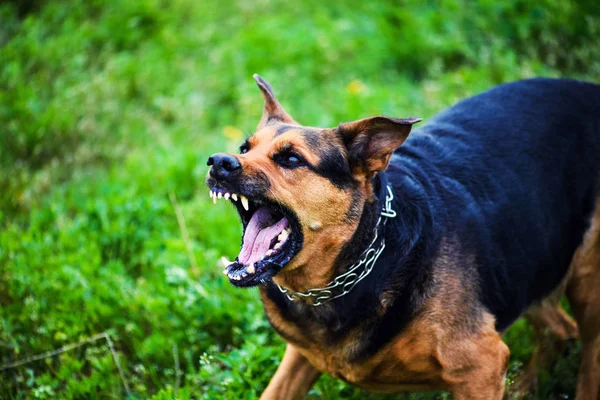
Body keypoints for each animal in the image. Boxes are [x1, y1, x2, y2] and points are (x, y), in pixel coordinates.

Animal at [207, 76, 600, 400]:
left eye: (291, 159)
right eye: (245, 148)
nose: (218, 162)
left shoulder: (480, 366)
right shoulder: (298, 359)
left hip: (584, 280)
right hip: (531, 261)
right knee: (561, 329)